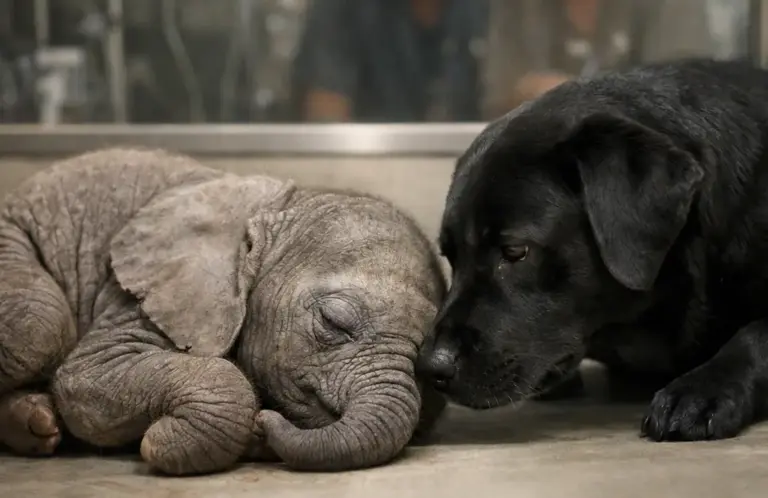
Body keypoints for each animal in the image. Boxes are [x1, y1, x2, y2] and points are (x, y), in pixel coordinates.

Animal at [0, 147, 448, 475]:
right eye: (332, 322)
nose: (264, 423)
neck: (282, 206)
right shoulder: (148, 297)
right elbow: (87, 378)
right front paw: (158, 442)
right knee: (39, 326)